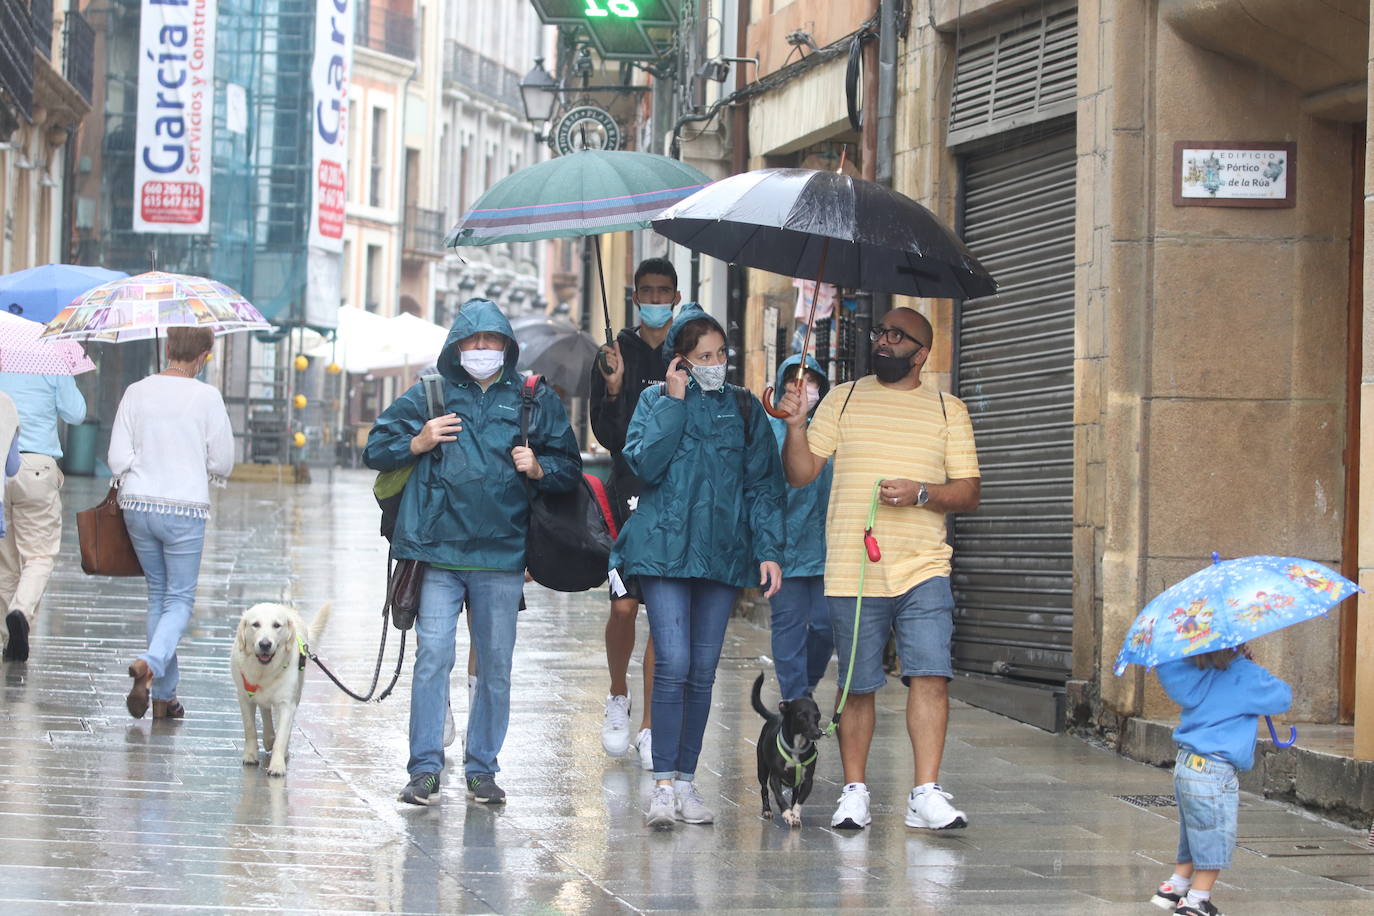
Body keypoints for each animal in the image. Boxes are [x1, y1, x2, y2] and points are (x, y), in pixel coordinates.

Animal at [232, 604, 333, 780]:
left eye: (276, 625)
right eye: (255, 624)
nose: (265, 644)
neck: (264, 672)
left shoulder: (287, 704)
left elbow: (281, 737)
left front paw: (277, 766)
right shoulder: (244, 698)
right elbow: (250, 729)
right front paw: (250, 756)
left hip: (296, 694)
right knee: (265, 710)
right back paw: (267, 738)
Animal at [752, 670, 824, 829]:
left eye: (817, 716)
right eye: (801, 716)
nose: (817, 733)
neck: (797, 747)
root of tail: (774, 716)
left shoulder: (807, 781)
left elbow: (799, 801)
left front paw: (795, 816)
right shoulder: (774, 778)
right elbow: (779, 798)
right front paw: (786, 814)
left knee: (795, 795)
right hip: (762, 768)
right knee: (764, 789)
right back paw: (767, 810)